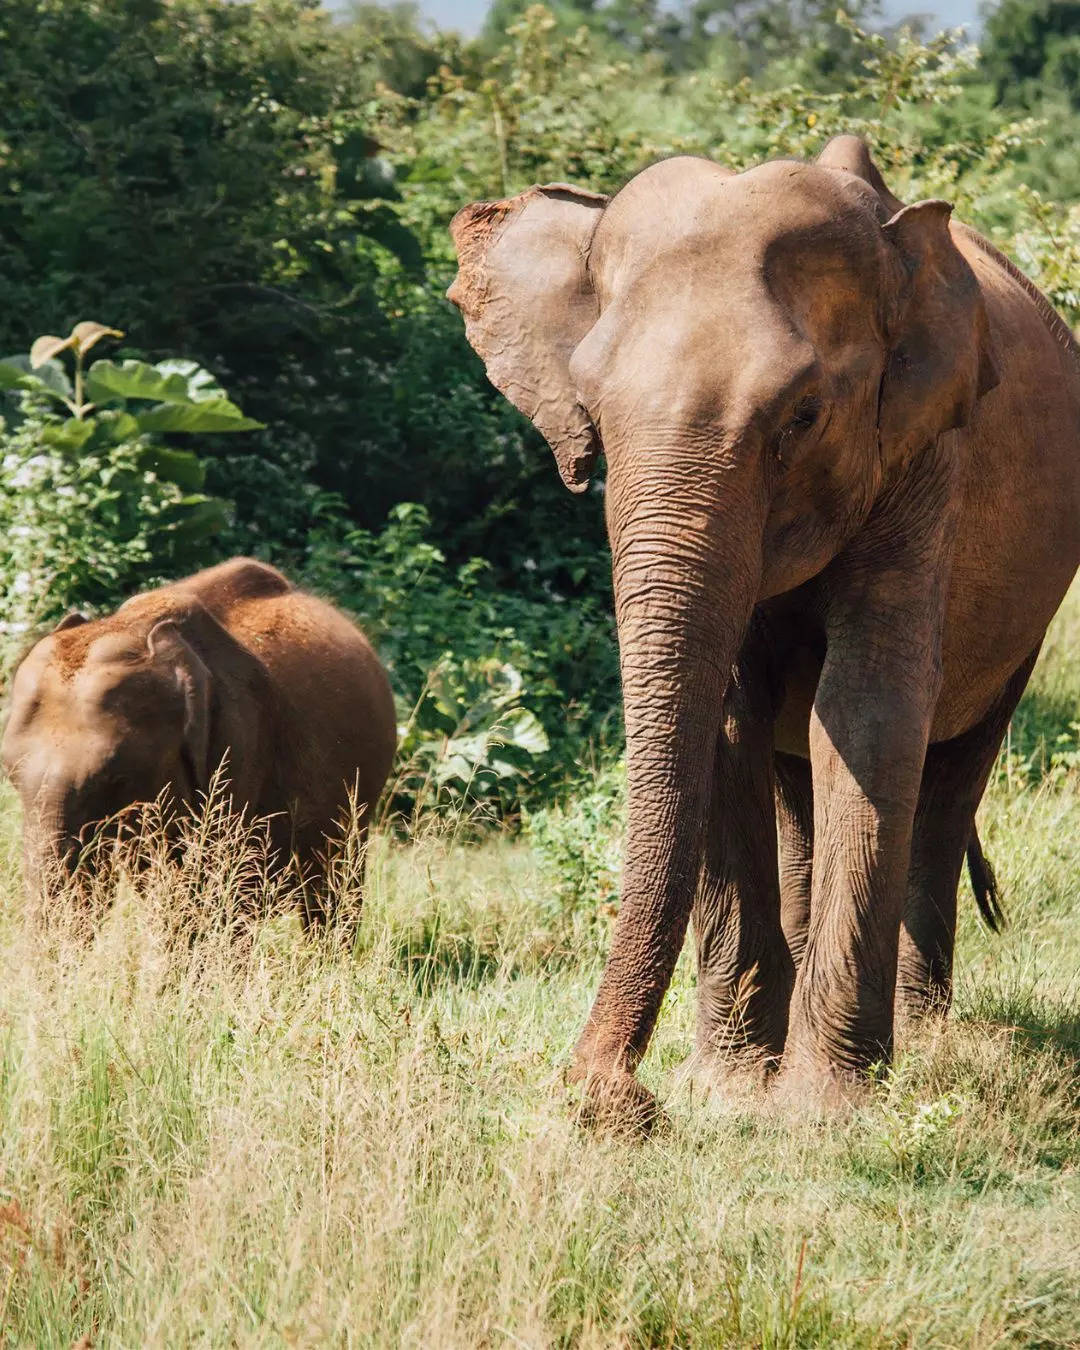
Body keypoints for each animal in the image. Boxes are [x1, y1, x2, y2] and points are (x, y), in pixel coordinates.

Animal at [448, 139, 1080, 1128]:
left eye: (803, 417)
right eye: (591, 411)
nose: (603, 1096)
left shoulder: (924, 459)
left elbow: (865, 713)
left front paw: (822, 1113)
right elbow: (729, 722)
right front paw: (732, 1090)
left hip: (1033, 608)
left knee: (950, 774)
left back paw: (929, 1038)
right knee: (797, 785)